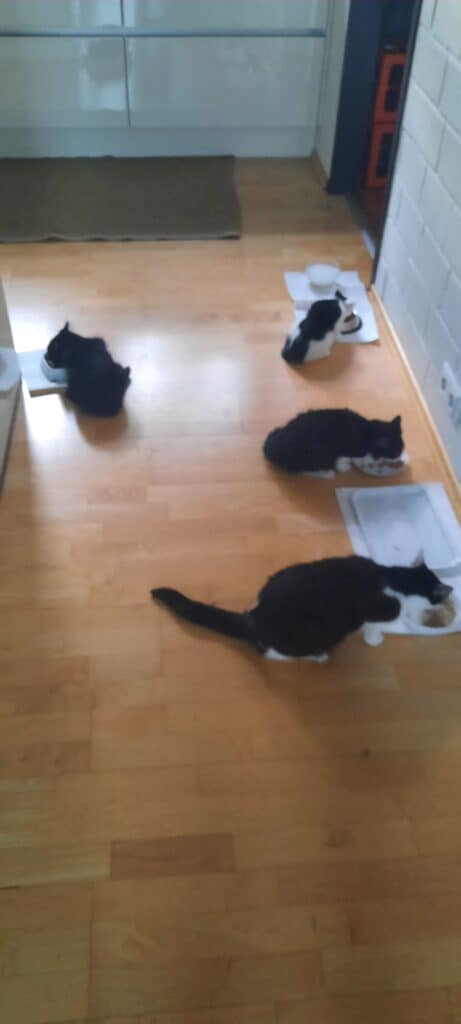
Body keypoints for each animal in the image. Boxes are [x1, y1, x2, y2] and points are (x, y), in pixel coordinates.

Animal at [151, 555, 452, 661]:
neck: (397, 579)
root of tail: (254, 618)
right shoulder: (379, 609)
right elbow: (375, 624)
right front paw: (375, 639)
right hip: (308, 633)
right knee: (270, 653)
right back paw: (317, 656)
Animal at [263, 409, 404, 478]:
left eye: (402, 449)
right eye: (396, 452)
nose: (399, 456)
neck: (369, 434)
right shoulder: (347, 446)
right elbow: (346, 459)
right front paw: (345, 467)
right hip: (315, 451)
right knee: (299, 468)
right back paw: (326, 473)